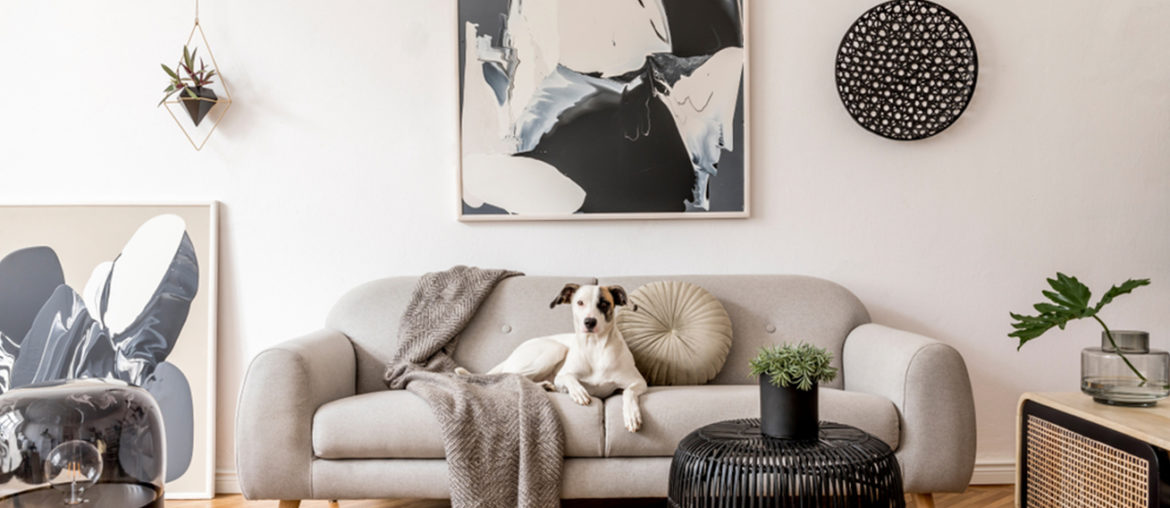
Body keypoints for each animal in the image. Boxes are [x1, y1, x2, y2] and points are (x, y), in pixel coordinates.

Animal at [470, 283, 650, 430]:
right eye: (580, 302)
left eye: (604, 303)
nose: (589, 322)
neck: (595, 347)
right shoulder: (562, 376)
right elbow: (569, 378)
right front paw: (579, 392)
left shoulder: (638, 382)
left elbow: (628, 392)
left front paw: (632, 415)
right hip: (555, 349)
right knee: (512, 376)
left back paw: (545, 386)